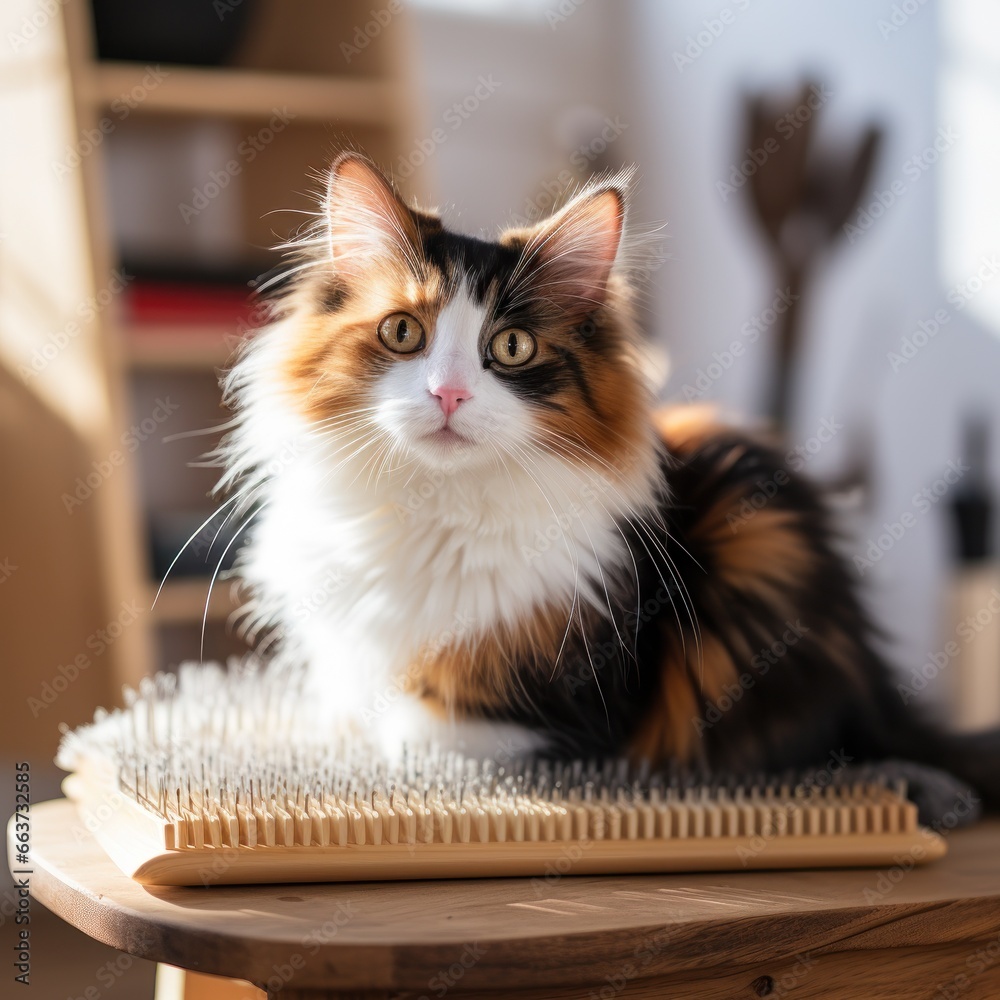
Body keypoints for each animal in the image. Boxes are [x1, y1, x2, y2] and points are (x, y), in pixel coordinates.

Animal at [219, 154, 1000, 812]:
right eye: (403, 332)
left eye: (511, 347)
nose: (448, 394)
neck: (434, 509)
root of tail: (880, 692)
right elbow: (345, 701)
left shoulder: (570, 715)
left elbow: (412, 726)